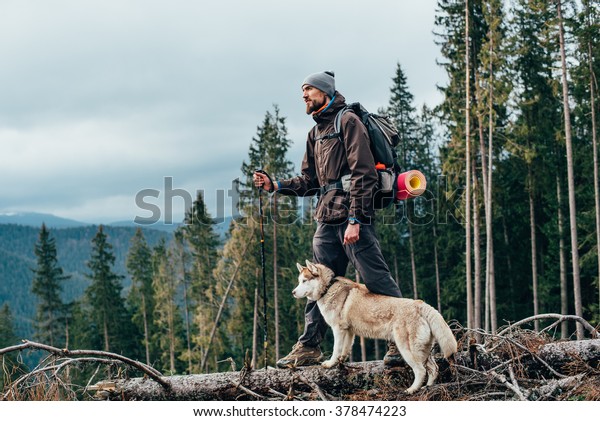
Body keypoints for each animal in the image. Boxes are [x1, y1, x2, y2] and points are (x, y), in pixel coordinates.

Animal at [292, 260, 458, 394]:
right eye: (299, 281)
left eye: (304, 281)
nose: (293, 292)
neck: (327, 288)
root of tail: (420, 304)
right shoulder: (349, 331)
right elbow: (345, 349)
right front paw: (341, 362)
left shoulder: (338, 329)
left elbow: (335, 349)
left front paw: (330, 363)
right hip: (423, 351)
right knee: (434, 369)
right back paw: (427, 387)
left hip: (407, 349)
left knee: (421, 370)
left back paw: (412, 390)